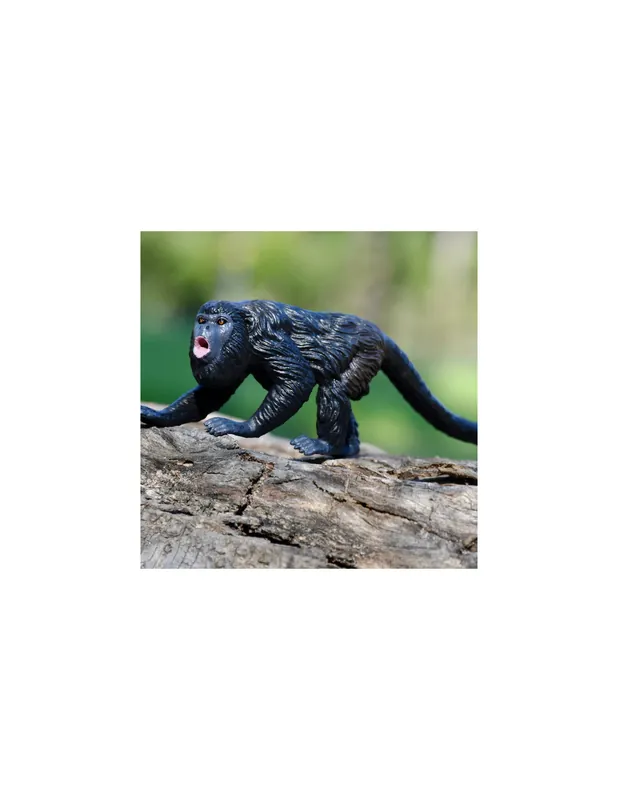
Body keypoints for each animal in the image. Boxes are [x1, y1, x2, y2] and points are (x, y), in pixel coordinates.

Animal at [140, 299, 477, 458]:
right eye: (201, 320)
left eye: (220, 322)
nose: (205, 328)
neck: (242, 326)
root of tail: (378, 332)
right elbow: (213, 391)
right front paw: (158, 416)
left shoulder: (267, 339)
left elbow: (298, 379)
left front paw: (242, 427)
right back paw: (347, 449)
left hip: (366, 352)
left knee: (334, 389)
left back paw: (326, 445)